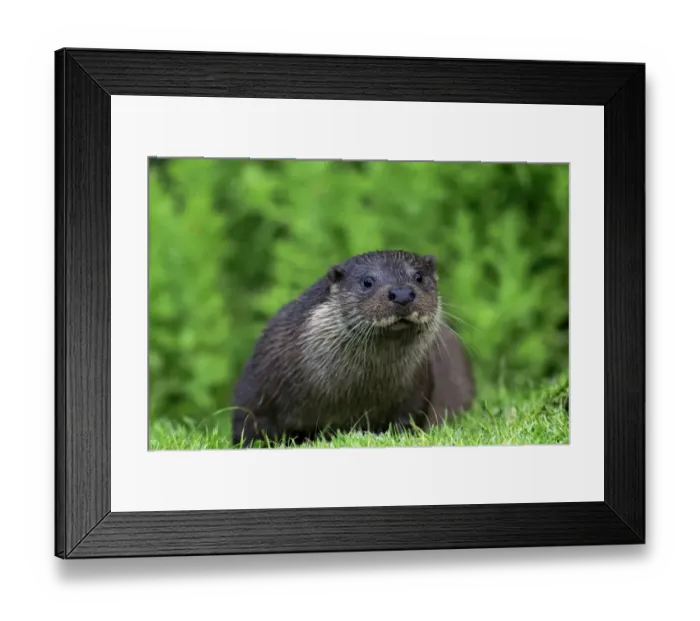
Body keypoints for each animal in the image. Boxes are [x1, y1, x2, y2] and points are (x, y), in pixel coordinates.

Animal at [231, 250, 475, 447]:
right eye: (367, 281)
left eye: (419, 277)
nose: (402, 294)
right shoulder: (258, 384)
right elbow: (248, 425)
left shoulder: (416, 392)